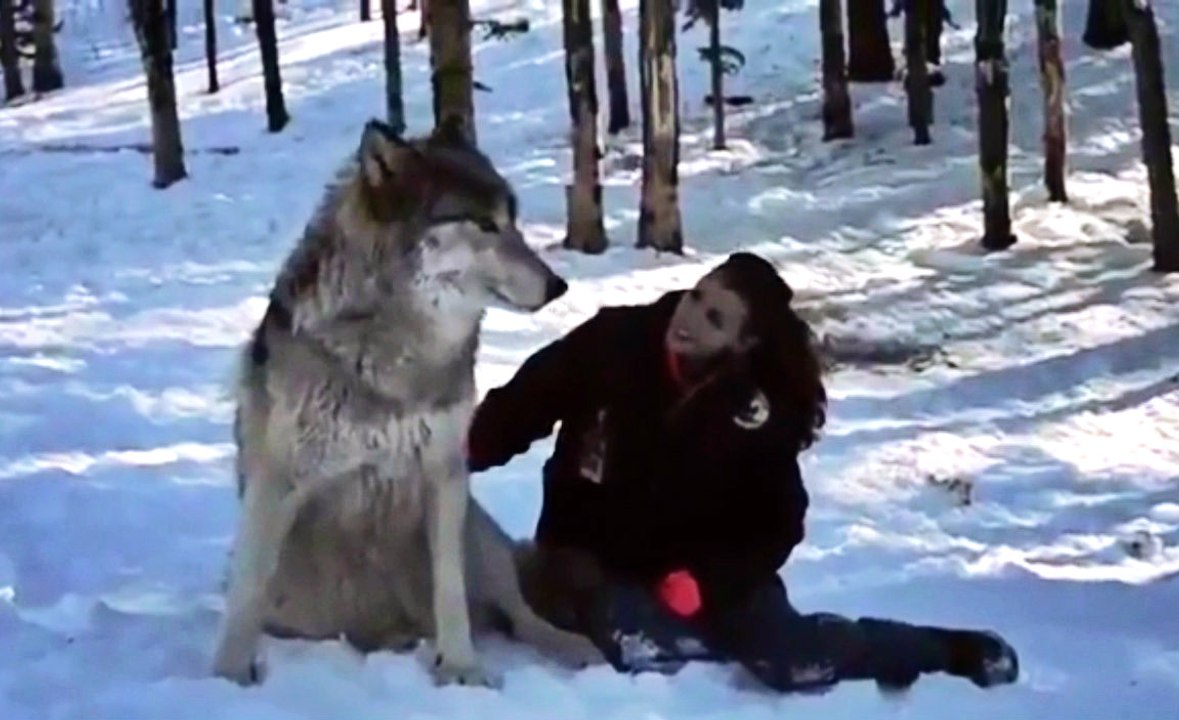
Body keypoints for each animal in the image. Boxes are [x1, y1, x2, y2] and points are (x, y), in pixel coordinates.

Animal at [211, 118, 605, 689]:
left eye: (512, 220)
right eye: (484, 224)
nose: (559, 285)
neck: (396, 354)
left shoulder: (446, 475)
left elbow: (451, 593)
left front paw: (462, 671)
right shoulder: (279, 482)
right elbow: (248, 592)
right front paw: (227, 677)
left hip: (479, 534)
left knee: (518, 614)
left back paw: (574, 648)